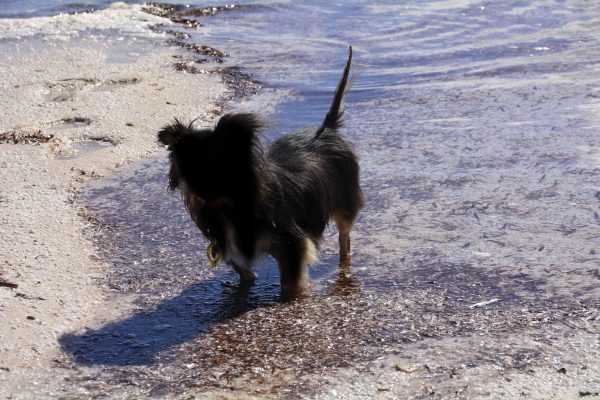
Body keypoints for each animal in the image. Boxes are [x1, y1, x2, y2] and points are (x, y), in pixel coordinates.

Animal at [158, 47, 360, 296]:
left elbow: (291, 282)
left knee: (344, 236)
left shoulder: (291, 243)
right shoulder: (231, 249)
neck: (226, 206)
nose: (200, 190)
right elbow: (246, 275)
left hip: (345, 202)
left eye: (222, 167)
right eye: (187, 168)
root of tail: (327, 129)